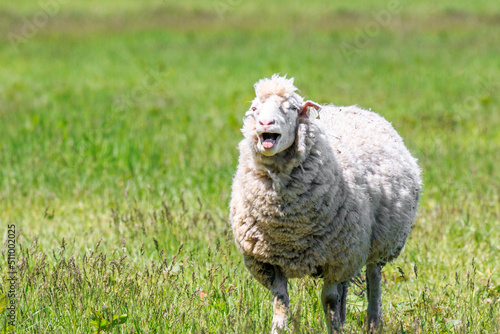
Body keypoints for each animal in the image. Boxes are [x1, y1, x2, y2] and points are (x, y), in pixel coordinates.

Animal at [230, 74, 422, 332]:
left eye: (292, 108)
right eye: (254, 108)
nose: (265, 122)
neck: (289, 227)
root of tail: (354, 108)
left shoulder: (337, 258)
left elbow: (328, 300)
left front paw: (335, 327)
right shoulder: (268, 261)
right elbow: (281, 303)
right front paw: (278, 329)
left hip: (376, 244)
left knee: (373, 280)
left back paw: (372, 323)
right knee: (345, 289)